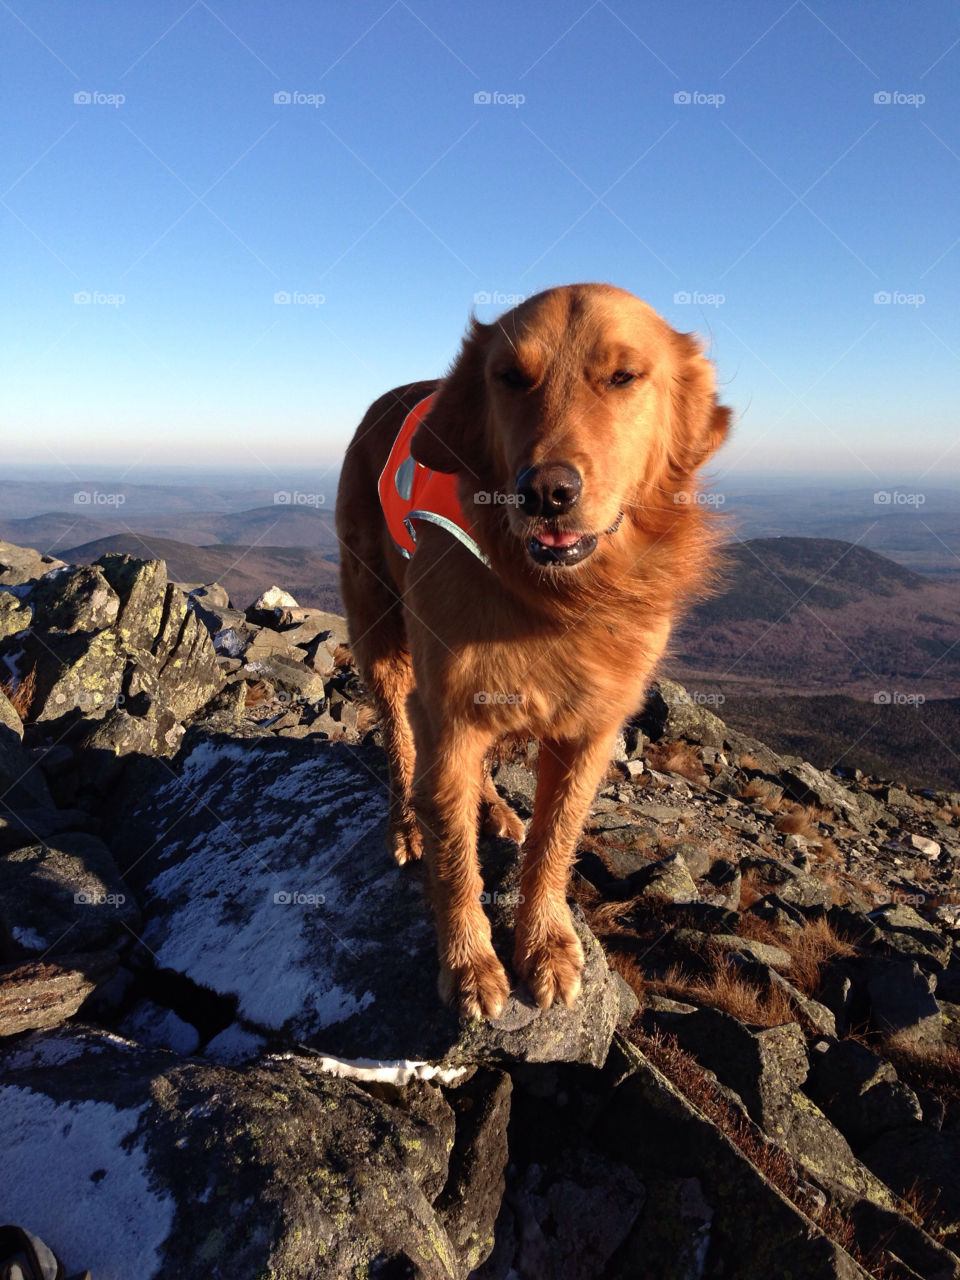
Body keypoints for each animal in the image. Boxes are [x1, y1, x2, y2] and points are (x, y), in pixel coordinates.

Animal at [335, 282, 732, 1018]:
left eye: (624, 377)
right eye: (511, 377)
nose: (547, 491)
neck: (554, 600)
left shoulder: (590, 730)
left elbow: (555, 839)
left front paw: (545, 943)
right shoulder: (450, 708)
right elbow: (453, 854)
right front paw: (469, 963)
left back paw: (491, 806)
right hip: (379, 626)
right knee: (401, 734)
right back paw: (407, 822)